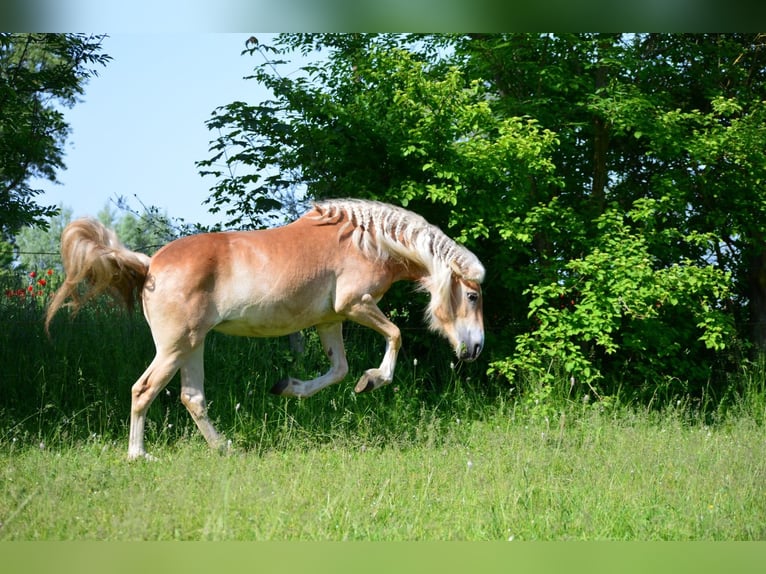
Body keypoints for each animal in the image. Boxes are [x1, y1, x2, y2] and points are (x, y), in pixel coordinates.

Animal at [46, 200, 486, 462]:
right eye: (472, 295)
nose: (476, 349)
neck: (367, 242)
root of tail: (150, 263)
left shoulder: (330, 320)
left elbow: (338, 370)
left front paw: (289, 387)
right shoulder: (355, 304)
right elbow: (395, 335)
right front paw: (374, 380)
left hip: (193, 346)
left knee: (192, 398)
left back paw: (226, 448)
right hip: (174, 347)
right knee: (143, 390)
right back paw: (139, 455)